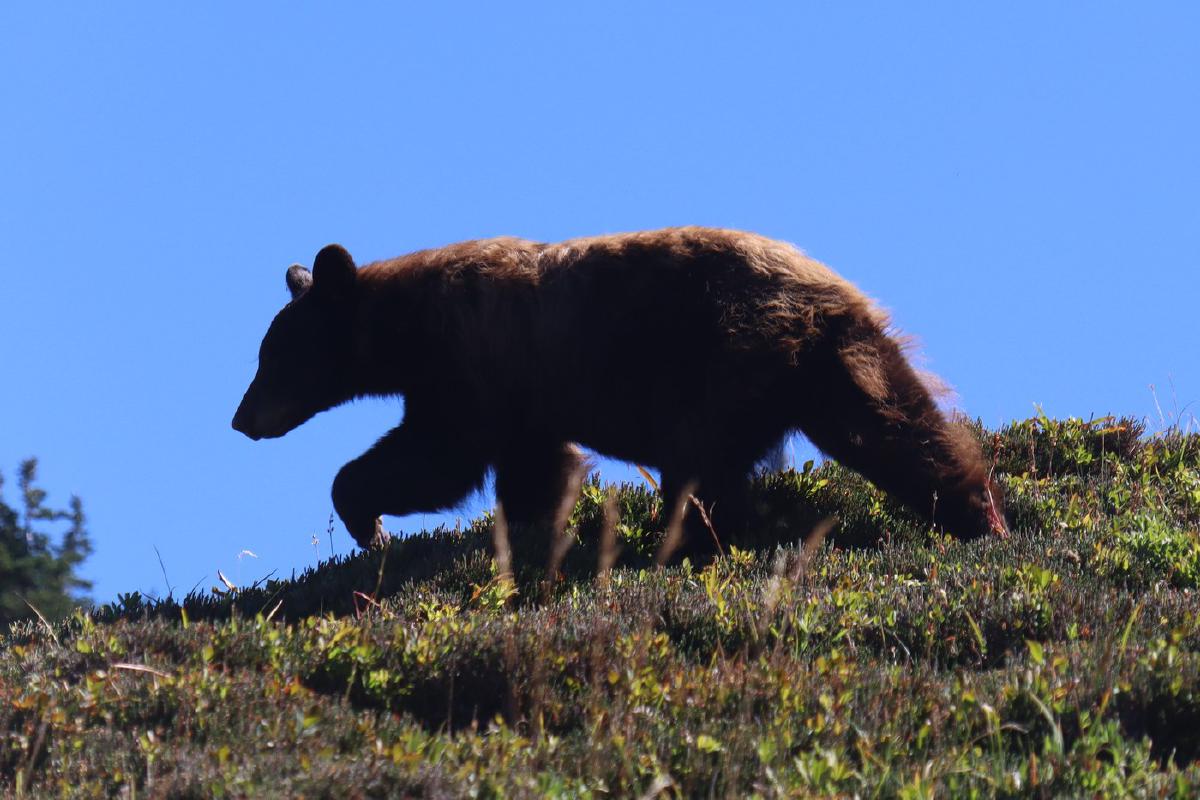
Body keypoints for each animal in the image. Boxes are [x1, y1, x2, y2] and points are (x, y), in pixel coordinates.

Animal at [229, 226, 1008, 563]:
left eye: (273, 356)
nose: (240, 419)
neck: (406, 323)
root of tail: (825, 295)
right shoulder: (522, 396)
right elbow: (533, 467)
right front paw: (538, 531)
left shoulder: (471, 364)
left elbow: (437, 457)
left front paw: (368, 522)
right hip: (835, 366)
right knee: (899, 428)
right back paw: (980, 513)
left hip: (725, 358)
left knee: (700, 460)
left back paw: (691, 538)